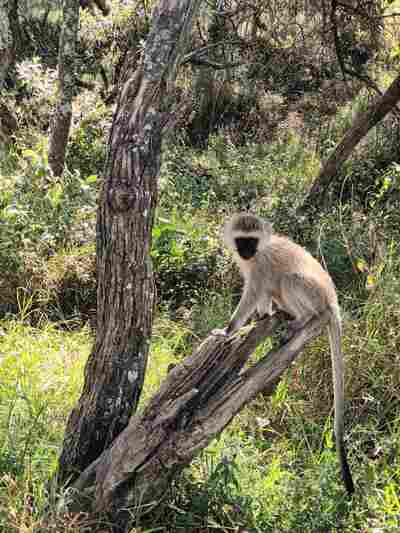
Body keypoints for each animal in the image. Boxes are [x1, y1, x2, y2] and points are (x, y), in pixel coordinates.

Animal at [214, 213, 354, 494]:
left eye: (252, 241)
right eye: (241, 240)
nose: (246, 252)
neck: (258, 253)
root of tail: (332, 300)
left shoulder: (261, 267)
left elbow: (254, 292)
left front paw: (228, 330)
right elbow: (262, 294)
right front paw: (262, 316)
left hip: (314, 295)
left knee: (290, 282)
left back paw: (301, 320)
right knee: (276, 289)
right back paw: (280, 315)